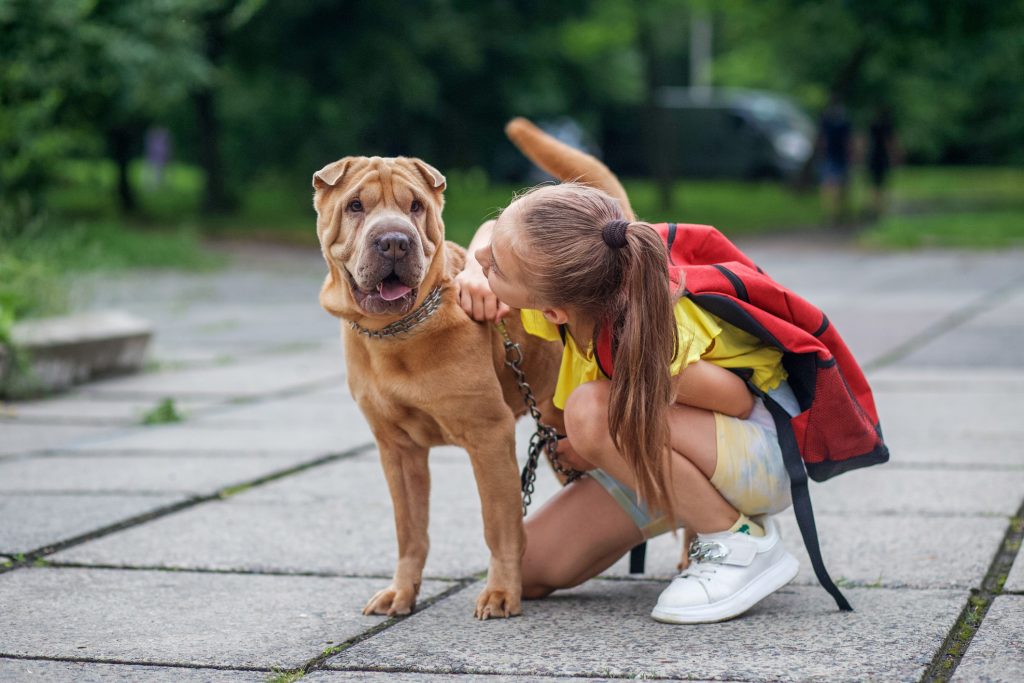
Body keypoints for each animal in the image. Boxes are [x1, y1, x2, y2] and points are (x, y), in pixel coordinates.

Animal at [315, 154, 565, 618]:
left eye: (415, 206)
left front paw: (501, 592)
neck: (395, 333)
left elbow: (499, 525)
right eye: (355, 205)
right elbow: (410, 530)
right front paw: (401, 592)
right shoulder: (397, 449)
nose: (394, 242)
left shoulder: (489, 436)